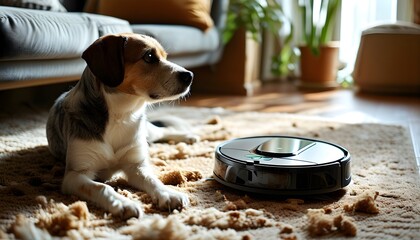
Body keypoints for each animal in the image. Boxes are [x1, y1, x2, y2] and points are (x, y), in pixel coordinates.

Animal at [46, 32, 199, 220]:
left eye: (165, 56)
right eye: (149, 56)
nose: (190, 75)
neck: (121, 115)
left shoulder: (136, 166)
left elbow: (153, 179)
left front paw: (168, 193)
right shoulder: (75, 175)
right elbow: (102, 187)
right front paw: (124, 203)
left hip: (148, 132)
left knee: (163, 130)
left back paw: (188, 136)